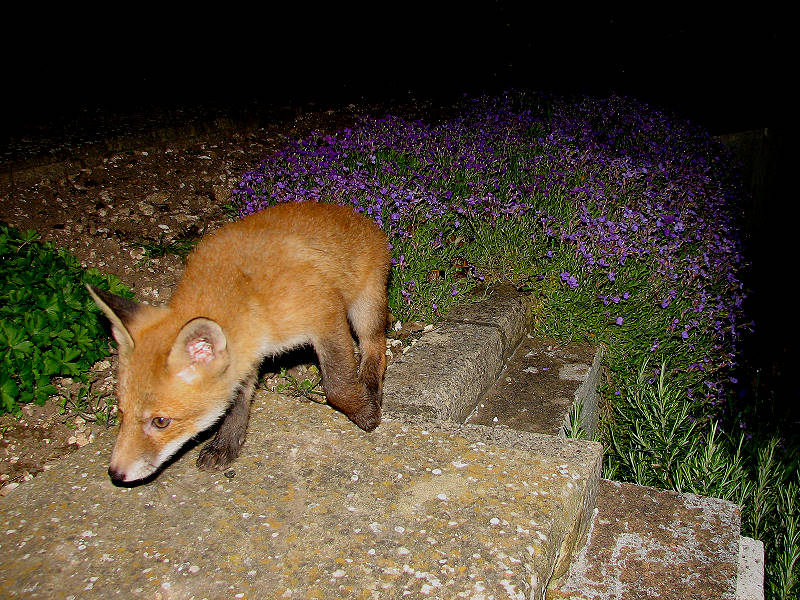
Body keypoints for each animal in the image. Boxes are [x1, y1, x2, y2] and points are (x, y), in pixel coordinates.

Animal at [88, 201, 391, 484]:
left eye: (161, 422)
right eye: (121, 411)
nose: (115, 473)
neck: (250, 298)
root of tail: (353, 214)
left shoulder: (326, 315)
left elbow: (336, 386)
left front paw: (365, 412)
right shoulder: (246, 353)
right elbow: (236, 403)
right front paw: (226, 444)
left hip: (364, 306)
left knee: (376, 348)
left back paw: (370, 386)